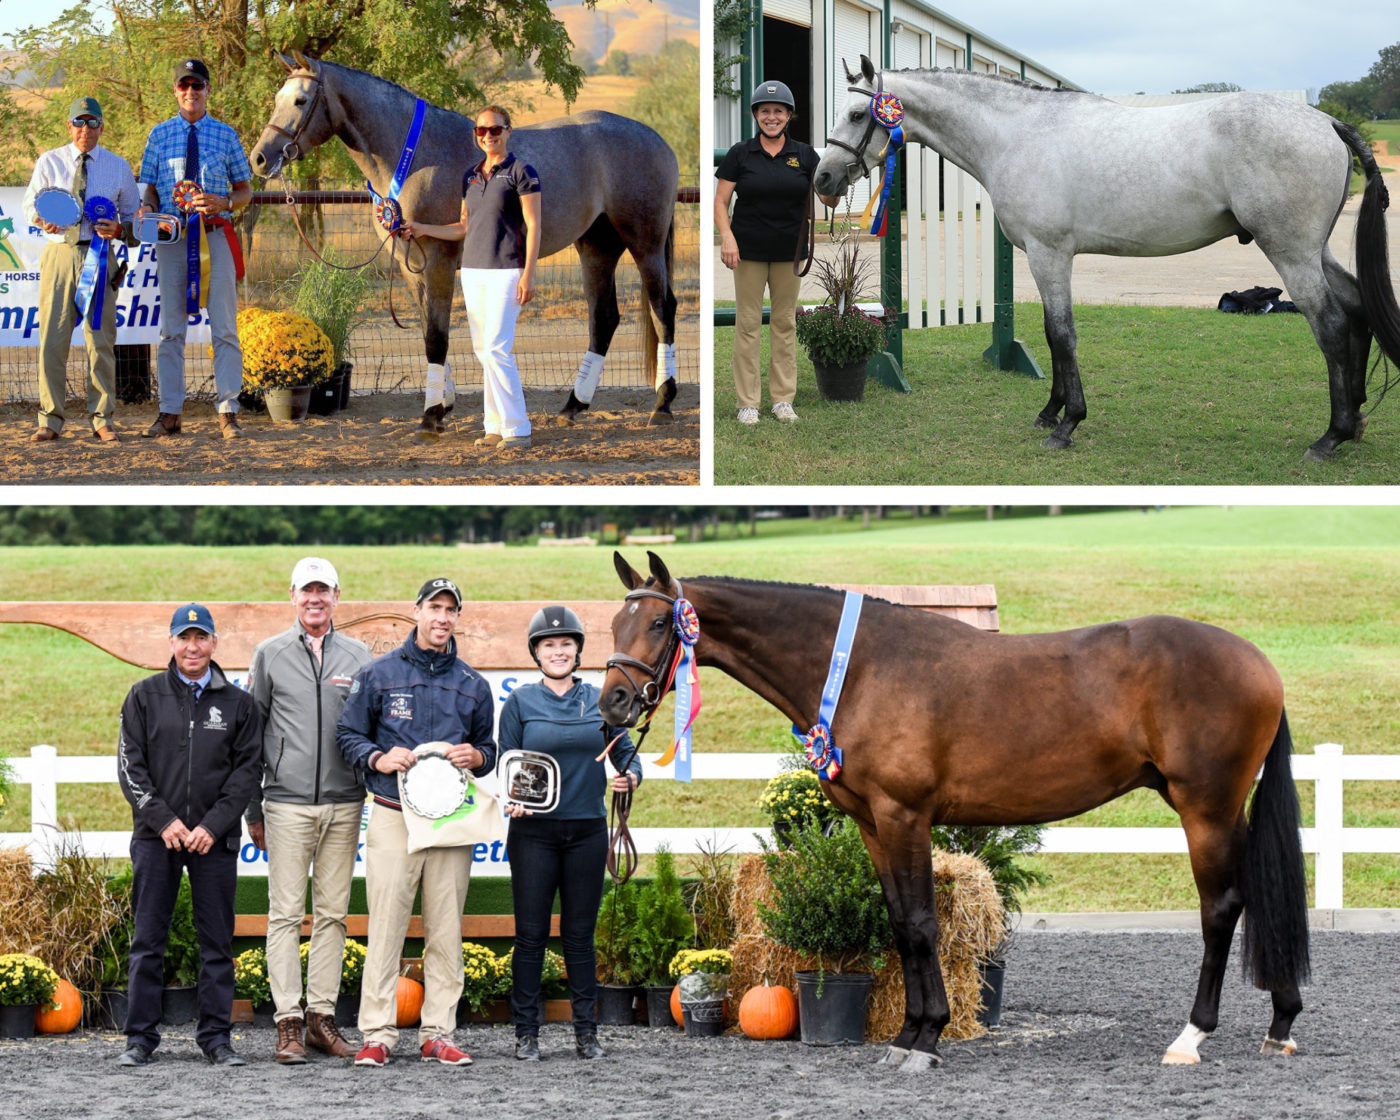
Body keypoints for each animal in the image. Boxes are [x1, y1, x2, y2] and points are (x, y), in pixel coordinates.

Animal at [249, 54, 680, 434]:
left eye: (301, 100)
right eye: (277, 99)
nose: (259, 158)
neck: (416, 155)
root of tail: (658, 141)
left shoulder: (438, 261)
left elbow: (437, 338)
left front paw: (431, 416)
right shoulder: (410, 266)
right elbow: (428, 331)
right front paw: (443, 404)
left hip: (645, 243)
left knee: (662, 308)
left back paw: (662, 404)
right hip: (596, 246)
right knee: (604, 318)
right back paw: (573, 406)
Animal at [602, 554, 1310, 1069]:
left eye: (661, 625)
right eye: (614, 626)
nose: (612, 702)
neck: (860, 667)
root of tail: (1262, 664)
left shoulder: (904, 816)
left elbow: (921, 923)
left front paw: (927, 1038)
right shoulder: (873, 823)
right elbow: (899, 923)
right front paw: (906, 1035)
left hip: (1205, 807)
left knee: (1221, 908)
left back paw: (1192, 1038)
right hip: (1220, 808)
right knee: (1259, 894)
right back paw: (1281, 1023)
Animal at [812, 55, 1400, 459]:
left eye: (859, 112)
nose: (823, 178)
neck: (1018, 134)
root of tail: (1325, 122)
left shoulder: (1049, 255)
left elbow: (1061, 334)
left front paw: (1067, 423)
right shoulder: (1046, 258)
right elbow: (1053, 334)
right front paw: (1050, 413)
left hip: (1291, 252)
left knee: (1331, 325)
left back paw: (1330, 437)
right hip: (1314, 251)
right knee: (1357, 312)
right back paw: (1355, 421)